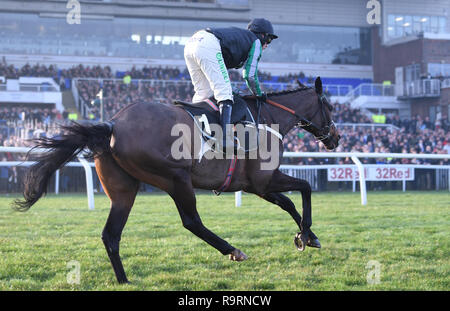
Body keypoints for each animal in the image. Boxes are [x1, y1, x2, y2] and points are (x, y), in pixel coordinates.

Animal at [14, 77, 340, 284]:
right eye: (330, 107)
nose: (336, 137)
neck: (267, 118)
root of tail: (112, 124)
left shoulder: (254, 186)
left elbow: (288, 203)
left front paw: (307, 236)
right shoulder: (263, 181)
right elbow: (305, 189)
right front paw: (306, 234)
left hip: (124, 190)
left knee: (111, 234)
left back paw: (124, 280)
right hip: (176, 177)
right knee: (191, 221)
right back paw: (233, 250)